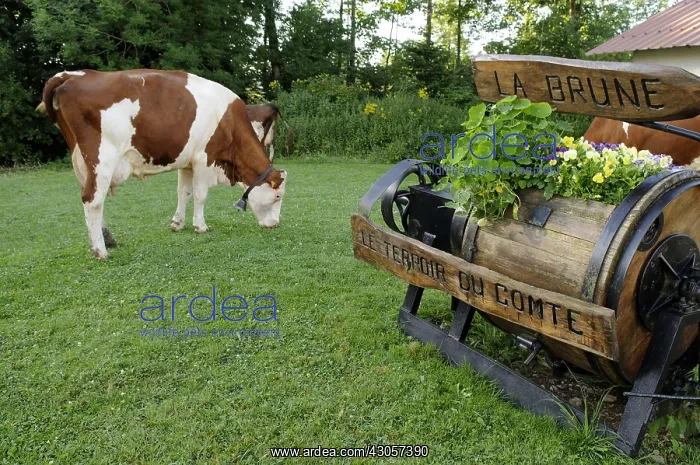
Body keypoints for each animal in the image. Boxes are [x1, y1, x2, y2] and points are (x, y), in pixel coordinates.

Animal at [37, 69, 288, 260]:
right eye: (277, 196)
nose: (275, 223)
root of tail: (72, 75)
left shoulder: (187, 163)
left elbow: (183, 193)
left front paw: (177, 223)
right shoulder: (204, 158)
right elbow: (200, 195)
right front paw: (201, 226)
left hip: (82, 161)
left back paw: (107, 239)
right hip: (102, 158)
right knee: (92, 199)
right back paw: (100, 250)